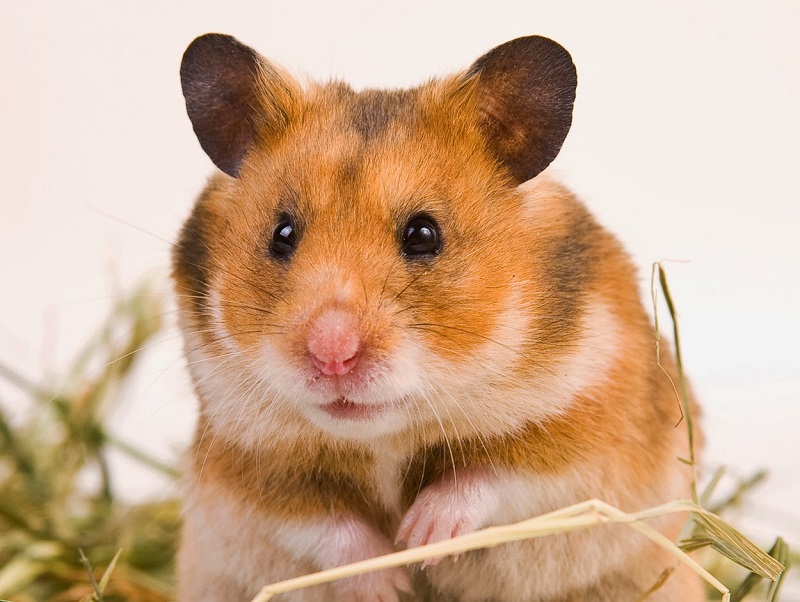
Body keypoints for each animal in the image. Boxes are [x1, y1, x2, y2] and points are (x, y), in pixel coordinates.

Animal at [173, 33, 703, 602]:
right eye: (282, 234)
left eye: (424, 234)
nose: (331, 354)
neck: (383, 435)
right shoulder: (243, 465)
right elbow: (323, 522)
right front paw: (390, 582)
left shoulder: (587, 427)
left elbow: (490, 476)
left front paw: (422, 538)